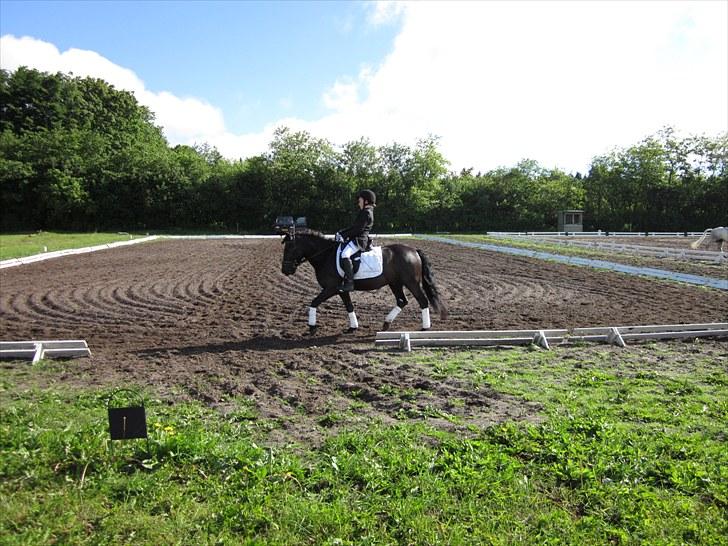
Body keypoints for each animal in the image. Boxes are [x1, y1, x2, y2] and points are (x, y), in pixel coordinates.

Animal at [282, 227, 446, 330]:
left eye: (290, 248)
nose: (285, 270)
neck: (325, 256)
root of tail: (413, 251)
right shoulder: (341, 290)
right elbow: (349, 306)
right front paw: (353, 327)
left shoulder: (331, 288)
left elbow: (314, 302)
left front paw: (311, 326)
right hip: (395, 283)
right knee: (402, 301)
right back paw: (386, 323)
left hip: (411, 282)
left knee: (422, 301)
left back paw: (425, 327)